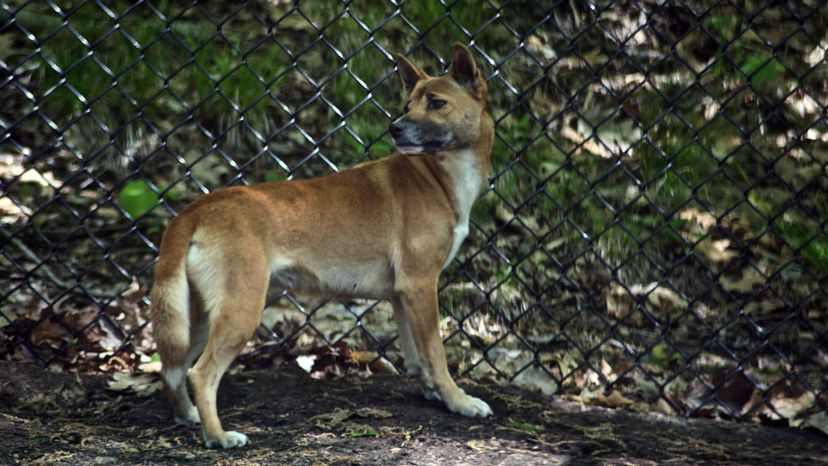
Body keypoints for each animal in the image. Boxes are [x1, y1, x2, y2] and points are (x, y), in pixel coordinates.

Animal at [150, 43, 492, 448]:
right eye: (408, 105)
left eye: (436, 103)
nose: (395, 127)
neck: (437, 175)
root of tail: (198, 207)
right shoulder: (421, 285)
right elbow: (437, 355)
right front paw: (459, 401)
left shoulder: (403, 294)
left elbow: (418, 356)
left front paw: (434, 393)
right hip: (240, 311)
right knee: (201, 373)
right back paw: (218, 436)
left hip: (201, 314)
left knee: (174, 368)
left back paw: (187, 416)